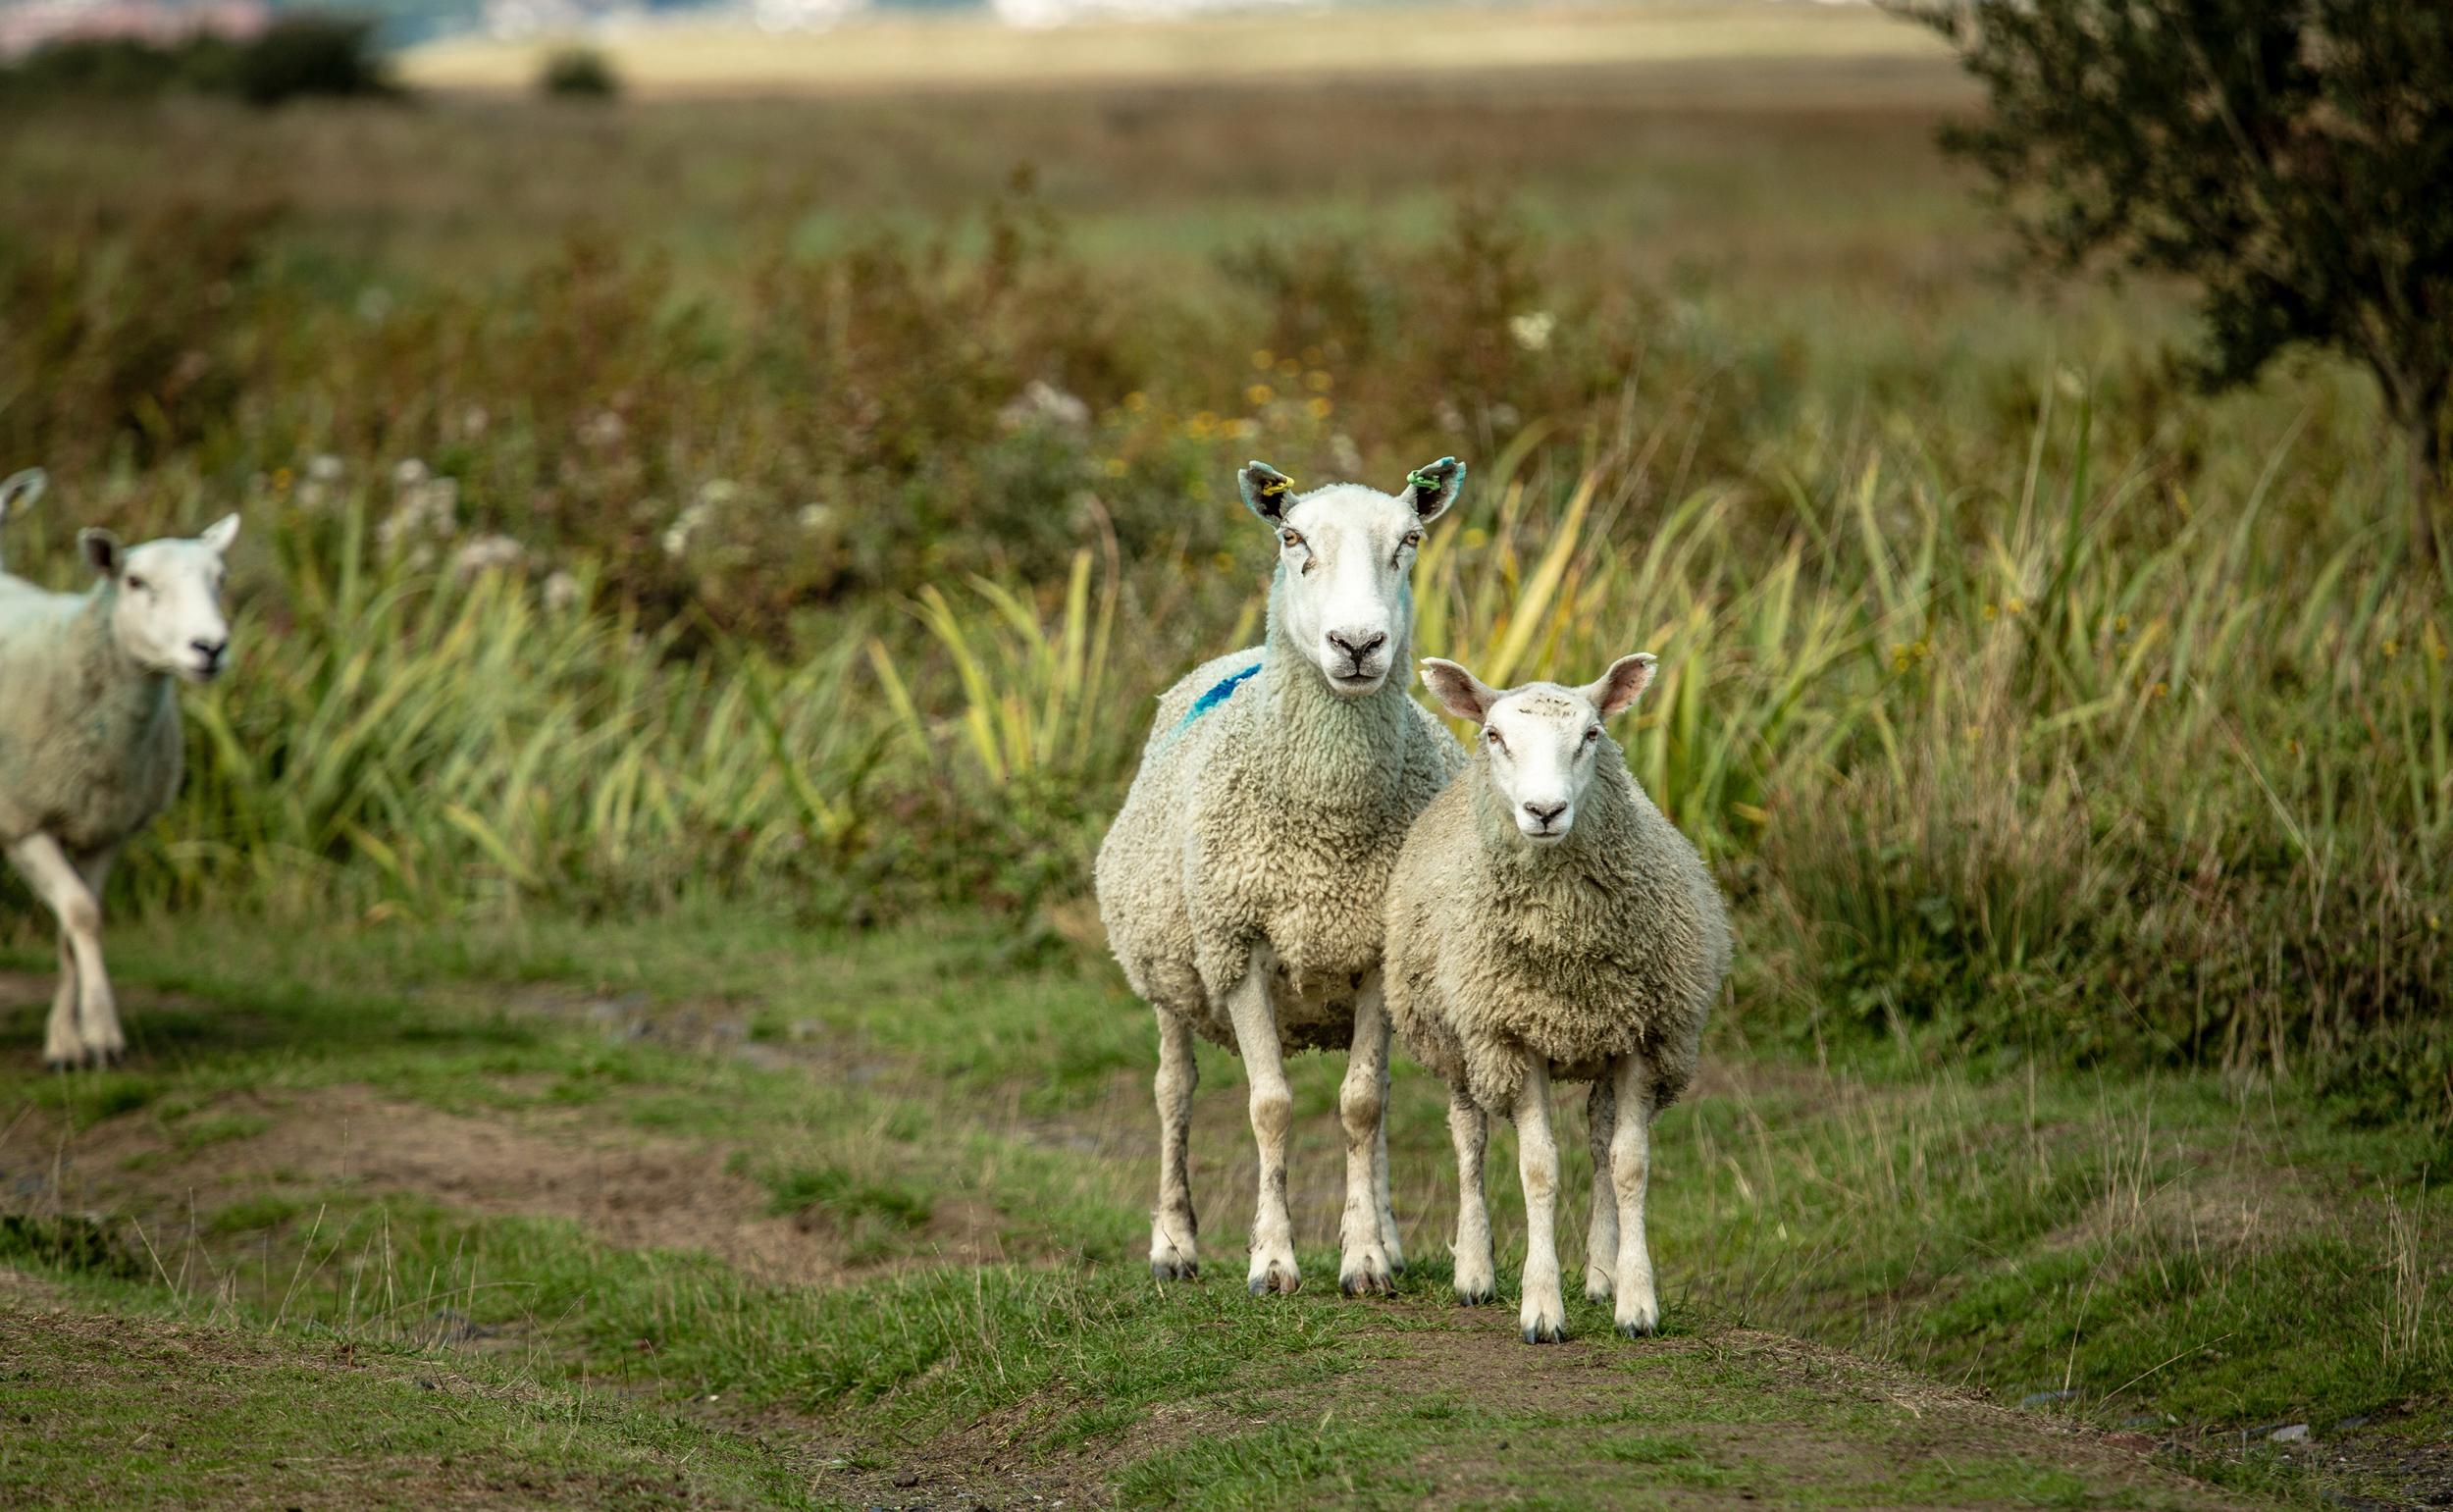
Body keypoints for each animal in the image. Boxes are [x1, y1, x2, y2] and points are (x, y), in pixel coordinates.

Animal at [1099, 453, 1472, 1295]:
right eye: (1292, 538)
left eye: (1410, 540)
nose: (1358, 642)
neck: (1327, 832)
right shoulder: (1236, 948)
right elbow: (1268, 1105)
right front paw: (1272, 1259)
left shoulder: (1376, 953)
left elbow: (1362, 1105)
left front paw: (1364, 1256)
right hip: (1171, 969)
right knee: (1174, 1091)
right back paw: (1174, 1242)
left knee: (1379, 1097)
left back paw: (1388, 1238)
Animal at [1393, 657, 1737, 1344]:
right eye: (1495, 736)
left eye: (1592, 734)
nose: (1545, 810)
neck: (1567, 939)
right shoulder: (1514, 1037)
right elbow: (1539, 1169)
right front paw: (1542, 1308)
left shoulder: (1642, 1038)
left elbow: (1629, 1165)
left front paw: (1636, 1301)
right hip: (1459, 1043)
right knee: (1469, 1138)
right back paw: (1475, 1272)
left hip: (1604, 1040)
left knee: (1601, 1140)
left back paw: (1602, 1274)